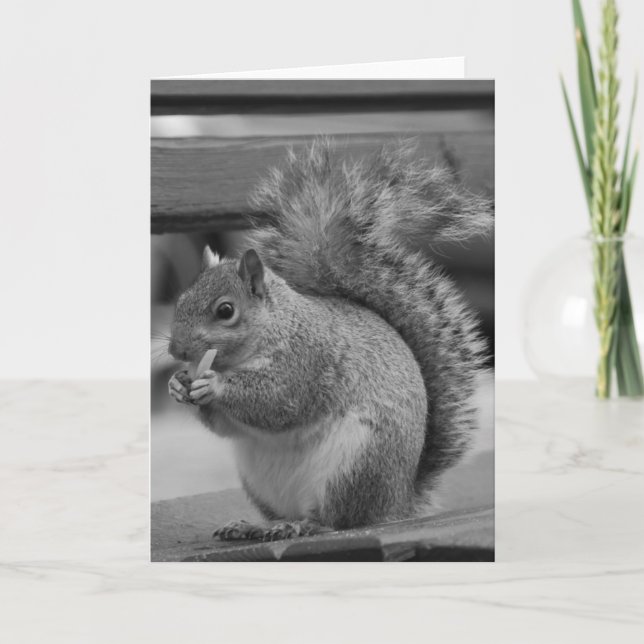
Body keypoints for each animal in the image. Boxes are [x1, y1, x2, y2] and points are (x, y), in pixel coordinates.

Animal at [168, 139, 492, 542]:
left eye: (225, 310)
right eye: (180, 300)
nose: (175, 350)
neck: (277, 327)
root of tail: (397, 501)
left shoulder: (307, 361)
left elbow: (277, 402)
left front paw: (213, 383)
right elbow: (226, 426)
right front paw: (178, 383)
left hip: (355, 464)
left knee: (337, 519)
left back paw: (302, 525)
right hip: (260, 480)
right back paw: (254, 526)